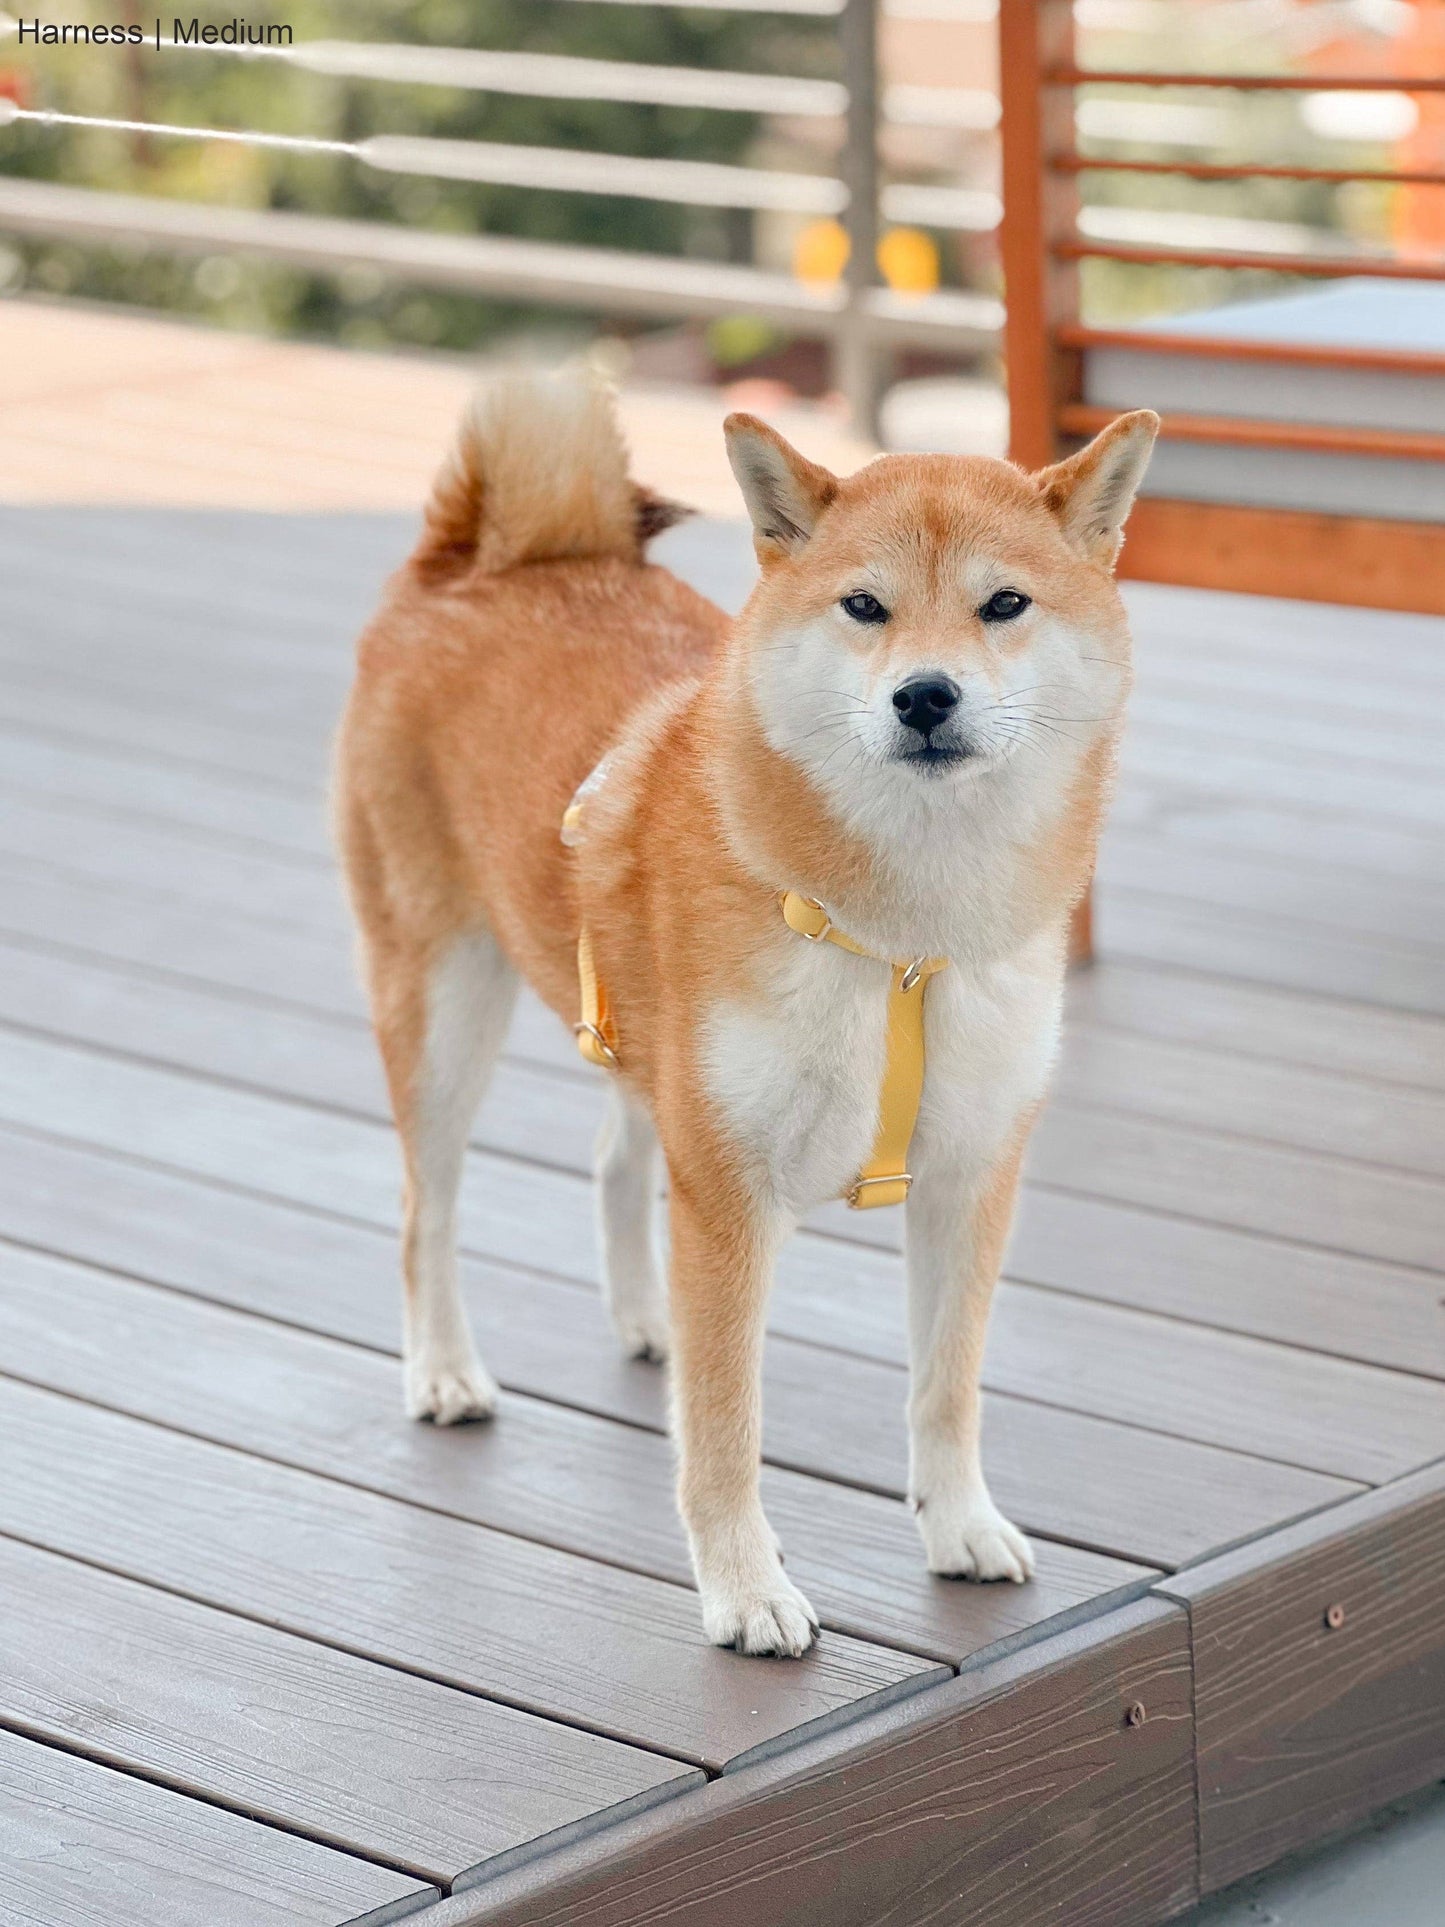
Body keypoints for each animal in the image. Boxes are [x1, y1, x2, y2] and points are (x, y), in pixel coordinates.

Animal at [333, 375, 1163, 1657]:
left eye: (1002, 604)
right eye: (864, 606)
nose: (925, 694)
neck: (904, 938)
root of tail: (478, 563)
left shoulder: (970, 1176)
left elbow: (946, 1386)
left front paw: (959, 1525)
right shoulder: (729, 1191)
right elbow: (724, 1428)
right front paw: (744, 1590)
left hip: (642, 1049)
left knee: (615, 1156)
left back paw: (646, 1318)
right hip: (444, 1001)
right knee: (429, 1211)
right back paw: (444, 1372)